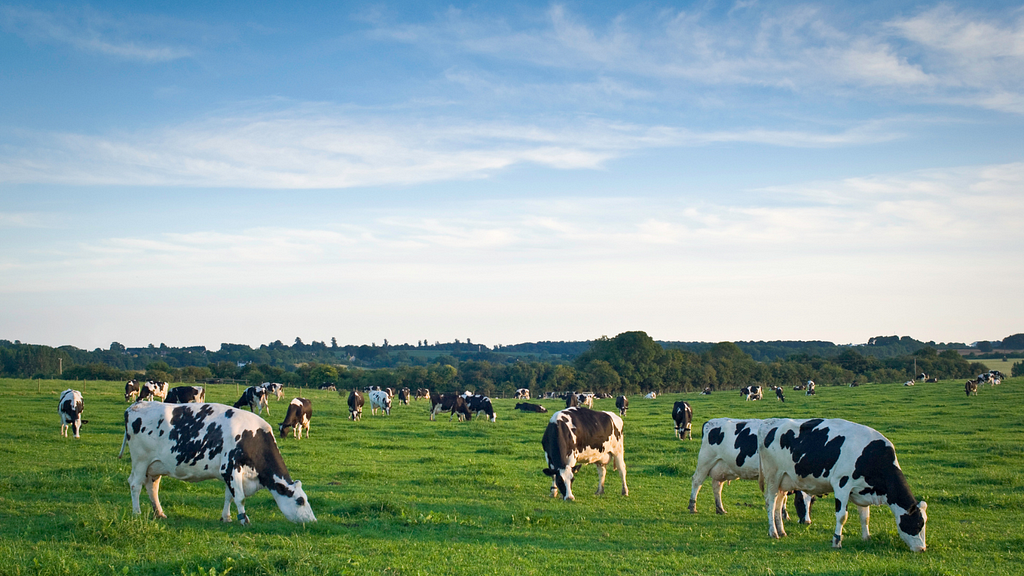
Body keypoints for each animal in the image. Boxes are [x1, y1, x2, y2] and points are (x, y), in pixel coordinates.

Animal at [118, 399, 315, 524]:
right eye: (300, 501)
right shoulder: (230, 468)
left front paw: (226, 518)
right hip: (140, 461)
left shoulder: (232, 473)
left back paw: (159, 513)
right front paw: (244, 520)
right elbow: (240, 497)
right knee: (135, 485)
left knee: (152, 487)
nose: (313, 520)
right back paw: (137, 513)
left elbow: (230, 496)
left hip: (156, 465)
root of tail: (136, 405)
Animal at [753, 416, 929, 553]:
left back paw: (782, 531)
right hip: (773, 477)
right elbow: (842, 516)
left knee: (778, 505)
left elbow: (865, 517)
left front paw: (866, 537)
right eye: (918, 524)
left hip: (784, 481)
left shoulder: (862, 490)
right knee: (770, 503)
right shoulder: (842, 485)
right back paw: (773, 532)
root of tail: (769, 423)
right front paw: (836, 541)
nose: (922, 549)